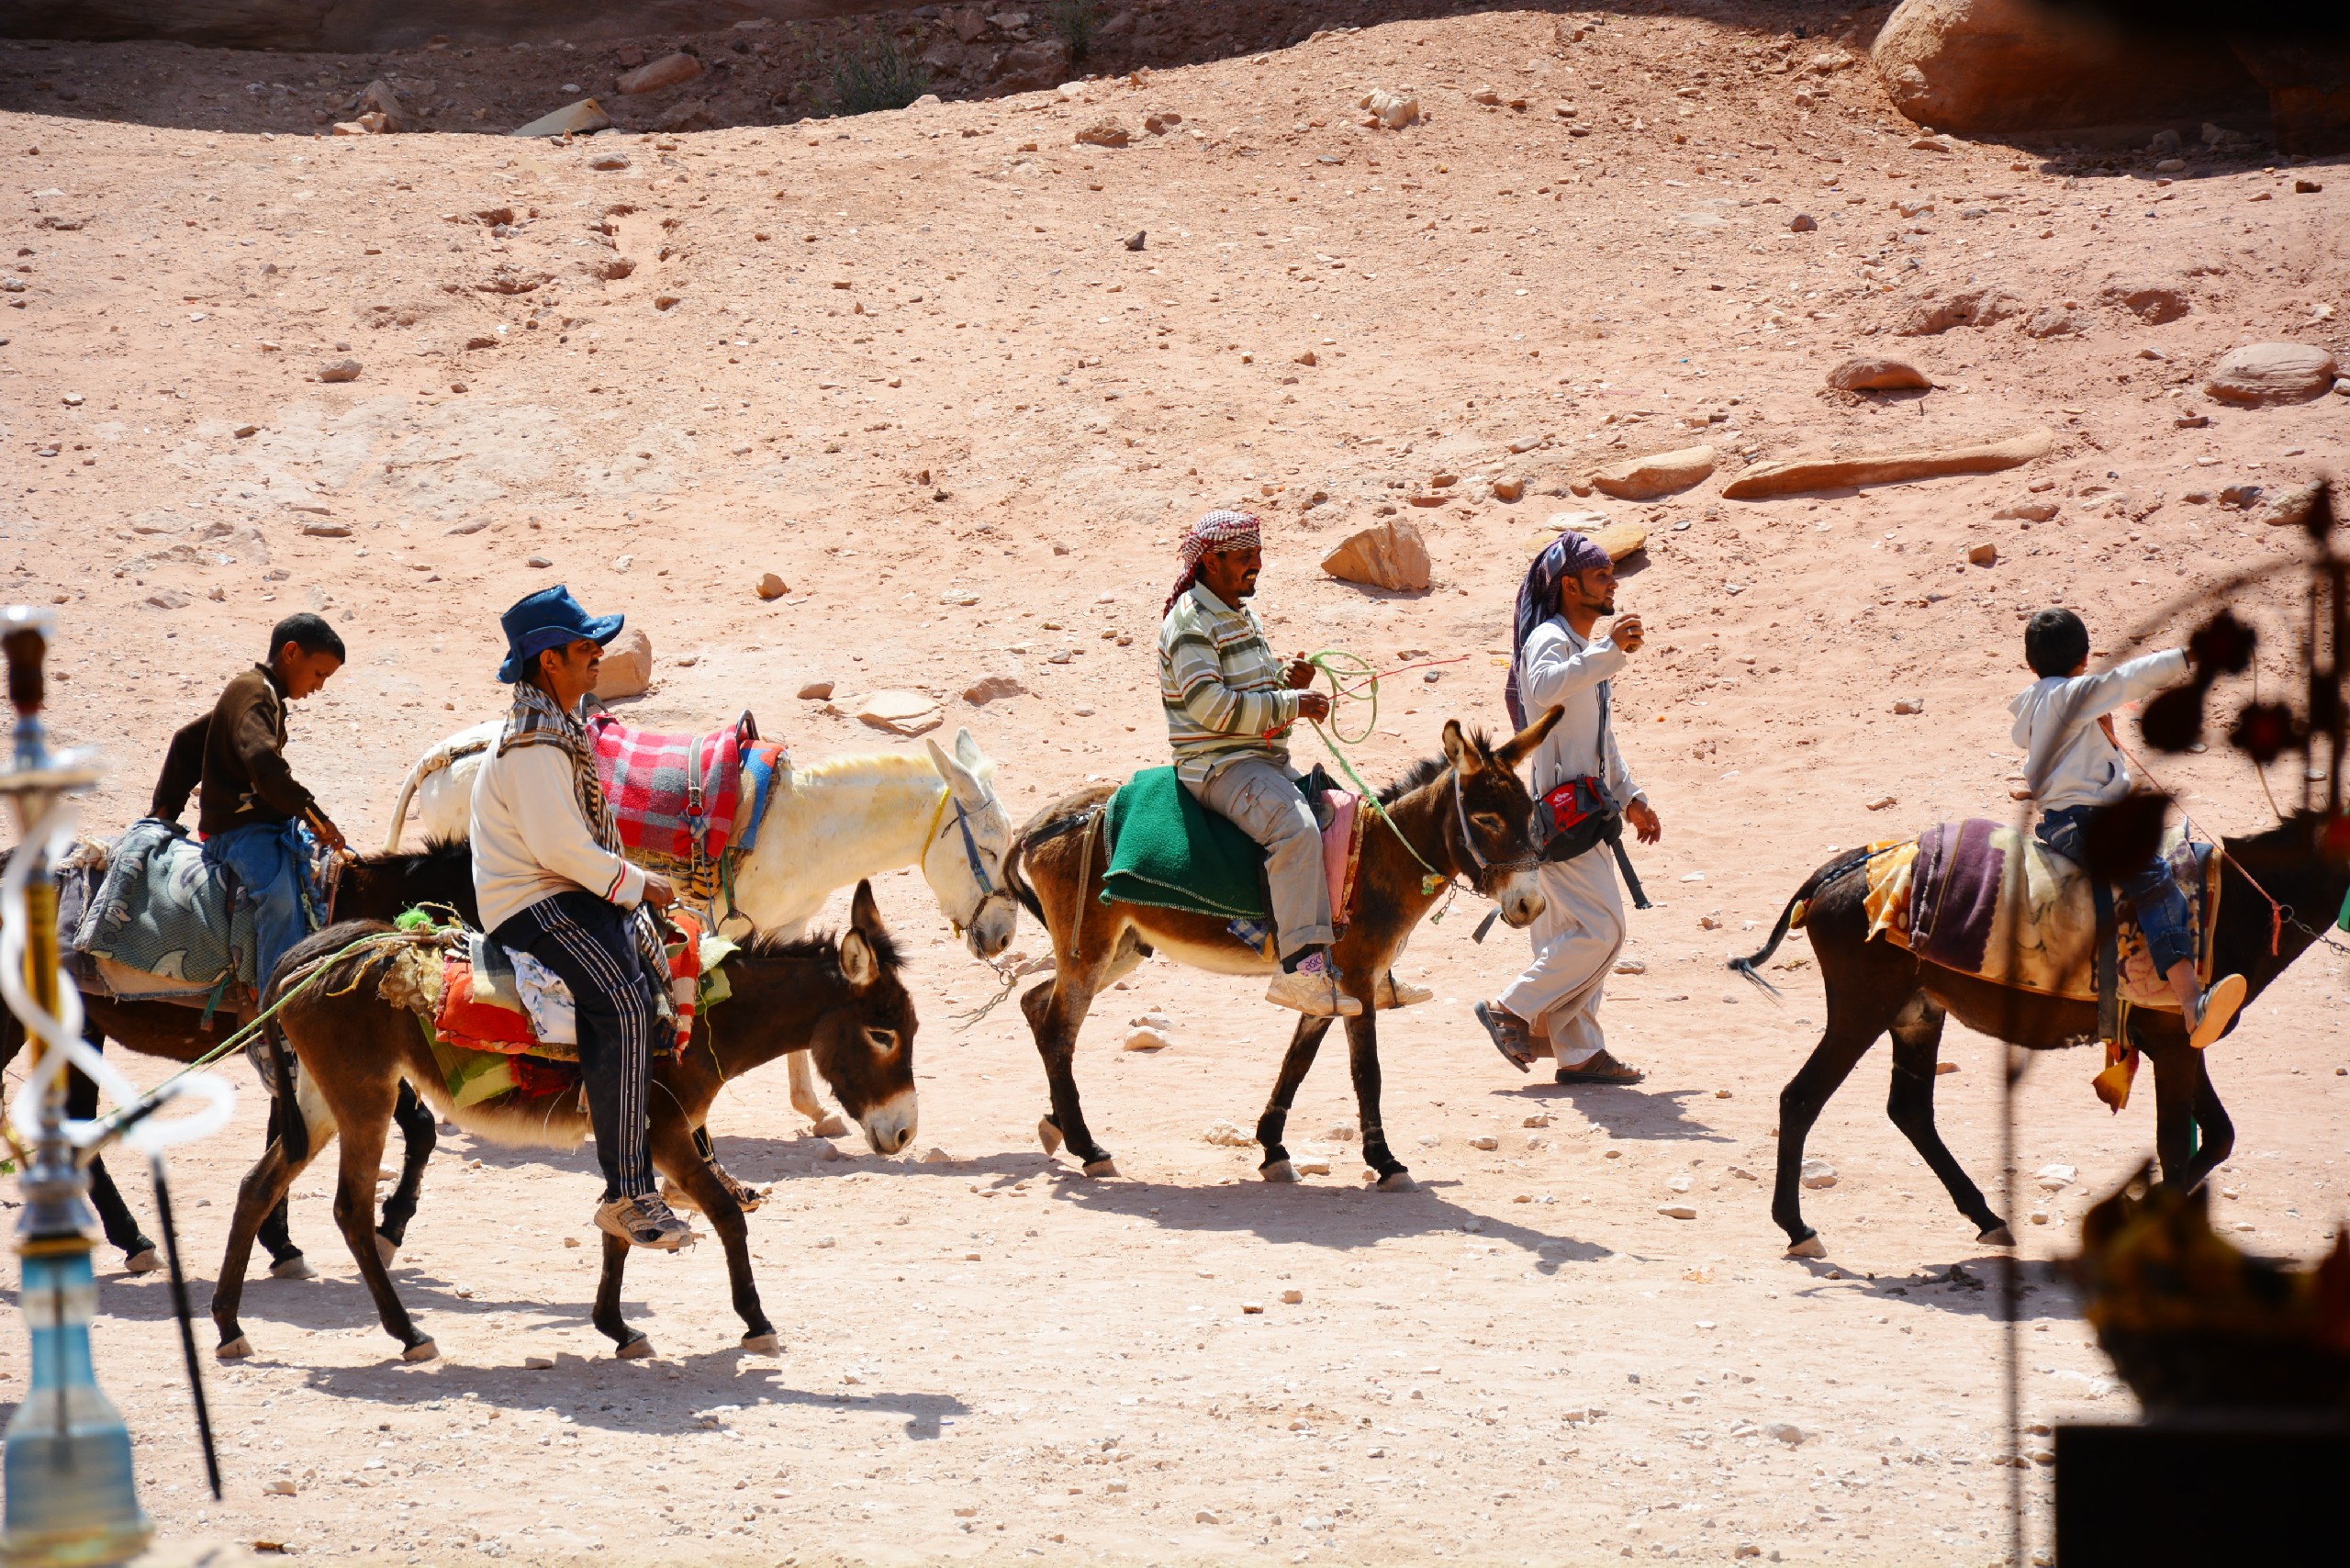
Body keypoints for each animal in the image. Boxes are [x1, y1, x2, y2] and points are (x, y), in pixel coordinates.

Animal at [0, 837, 478, 1276]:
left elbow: (289, 1135)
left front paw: (281, 1244)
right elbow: (418, 1127)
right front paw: (384, 1231)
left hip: (78, 1031)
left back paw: (132, 1241)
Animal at [211, 879, 918, 1363]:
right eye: (882, 1034)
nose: (905, 1132)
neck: (704, 1011)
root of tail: (314, 959)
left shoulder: (627, 1132)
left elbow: (620, 1222)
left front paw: (617, 1327)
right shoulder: (663, 1131)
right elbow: (723, 1214)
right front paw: (755, 1320)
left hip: (323, 1101)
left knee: (255, 1186)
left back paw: (228, 1326)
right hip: (365, 1098)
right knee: (351, 1210)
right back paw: (408, 1333)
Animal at [385, 721, 1014, 1136]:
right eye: (987, 849)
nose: (1004, 938)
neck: (806, 827)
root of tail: (444, 753)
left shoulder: (790, 923)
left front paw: (814, 1111)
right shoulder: (731, 923)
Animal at [1000, 713, 1561, 1188]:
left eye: (1530, 813)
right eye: (1485, 820)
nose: (1531, 905)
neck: (1379, 857)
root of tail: (1048, 818)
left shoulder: (1326, 981)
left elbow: (1298, 1060)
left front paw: (1273, 1149)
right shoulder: (1358, 977)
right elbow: (1368, 1072)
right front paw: (1385, 1162)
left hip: (1119, 949)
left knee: (1036, 1005)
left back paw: (1058, 1124)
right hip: (1091, 945)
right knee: (1059, 1029)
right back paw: (1087, 1147)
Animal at [1730, 811, 2350, 1257]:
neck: (2234, 907)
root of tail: (1841, 871)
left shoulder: (2177, 1046)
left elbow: (2217, 1137)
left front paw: (2138, 1212)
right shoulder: (2175, 1044)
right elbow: (2178, 1145)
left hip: (1916, 1014)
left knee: (1908, 1110)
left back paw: (1987, 1218)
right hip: (1862, 1010)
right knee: (1802, 1098)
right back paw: (1797, 1228)